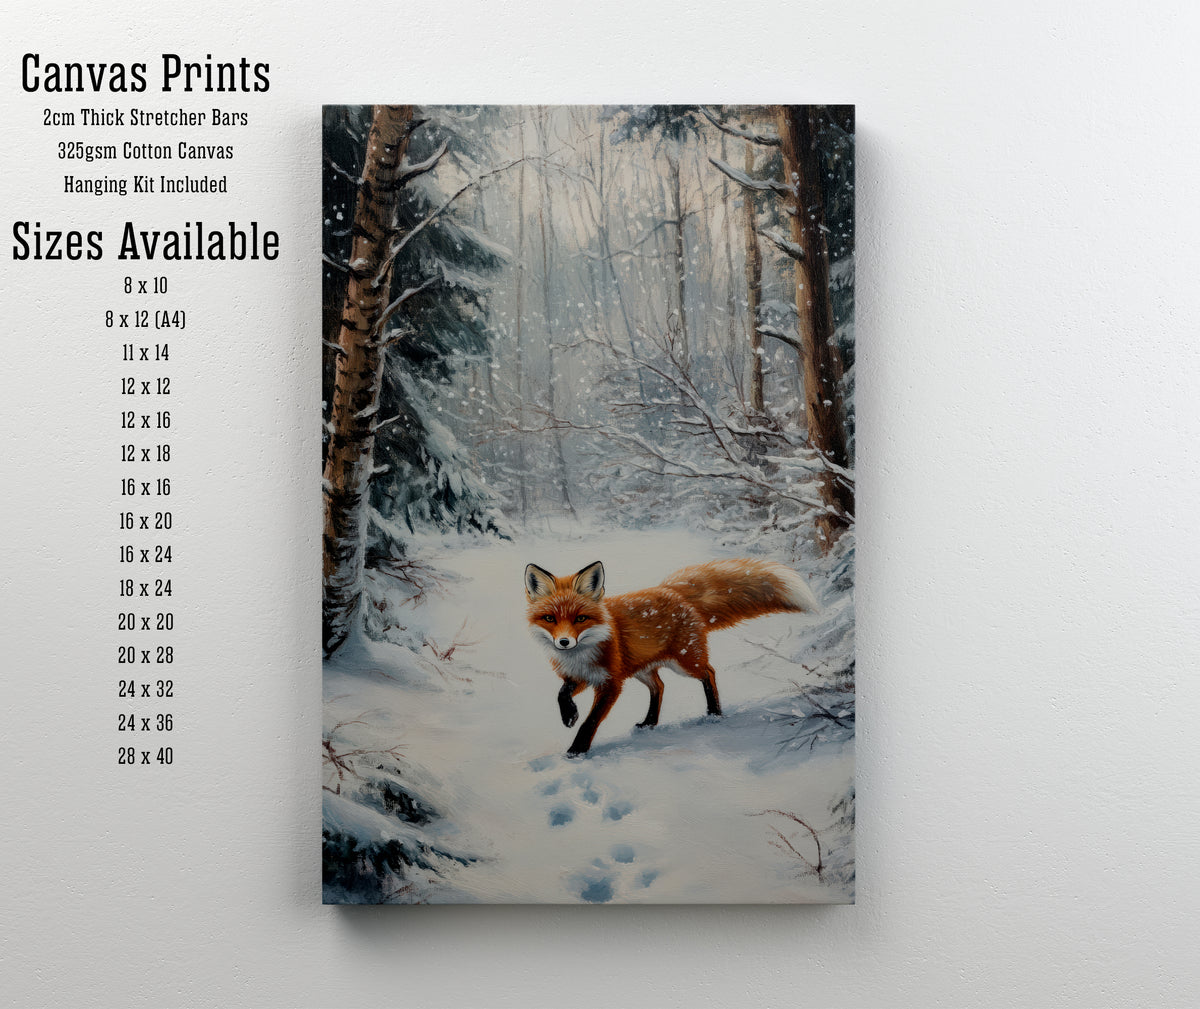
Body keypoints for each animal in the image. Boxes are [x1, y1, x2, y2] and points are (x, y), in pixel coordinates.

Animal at [524, 558, 819, 756]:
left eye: (580, 619)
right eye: (550, 619)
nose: (564, 642)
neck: (582, 652)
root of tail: (673, 591)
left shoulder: (611, 683)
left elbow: (591, 721)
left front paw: (577, 749)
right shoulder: (581, 676)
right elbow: (562, 694)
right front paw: (569, 716)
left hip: (685, 662)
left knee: (709, 673)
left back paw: (714, 713)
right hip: (643, 668)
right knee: (660, 685)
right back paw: (650, 722)